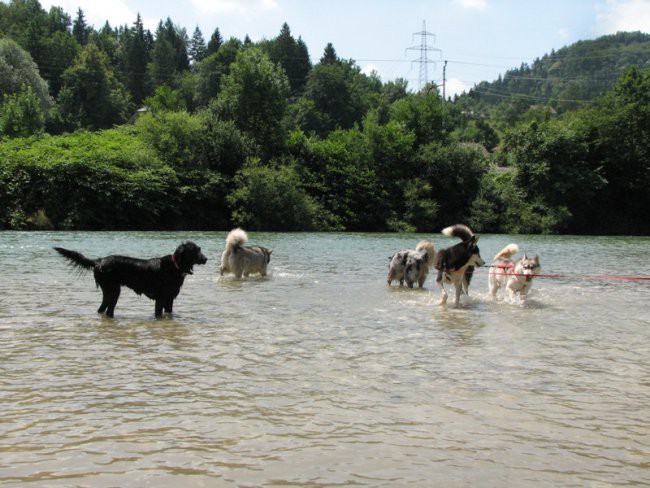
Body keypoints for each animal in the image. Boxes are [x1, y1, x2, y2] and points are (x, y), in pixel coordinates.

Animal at [56, 242, 208, 318]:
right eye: (194, 251)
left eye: (200, 249)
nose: (206, 259)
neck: (175, 266)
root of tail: (98, 261)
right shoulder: (160, 298)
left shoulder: (169, 299)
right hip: (114, 290)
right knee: (108, 311)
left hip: (109, 291)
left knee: (102, 310)